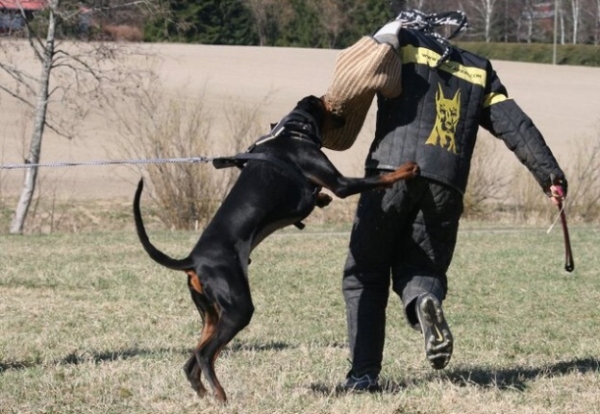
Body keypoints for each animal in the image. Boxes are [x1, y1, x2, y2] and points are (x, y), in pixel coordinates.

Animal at [134, 95, 420, 402]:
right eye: (326, 104)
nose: (341, 113)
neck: (292, 132)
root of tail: (192, 260)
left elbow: (319, 196)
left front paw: (321, 199)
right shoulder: (341, 183)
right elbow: (377, 179)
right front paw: (408, 169)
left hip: (211, 313)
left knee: (192, 361)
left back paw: (202, 392)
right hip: (238, 308)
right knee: (205, 354)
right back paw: (221, 396)